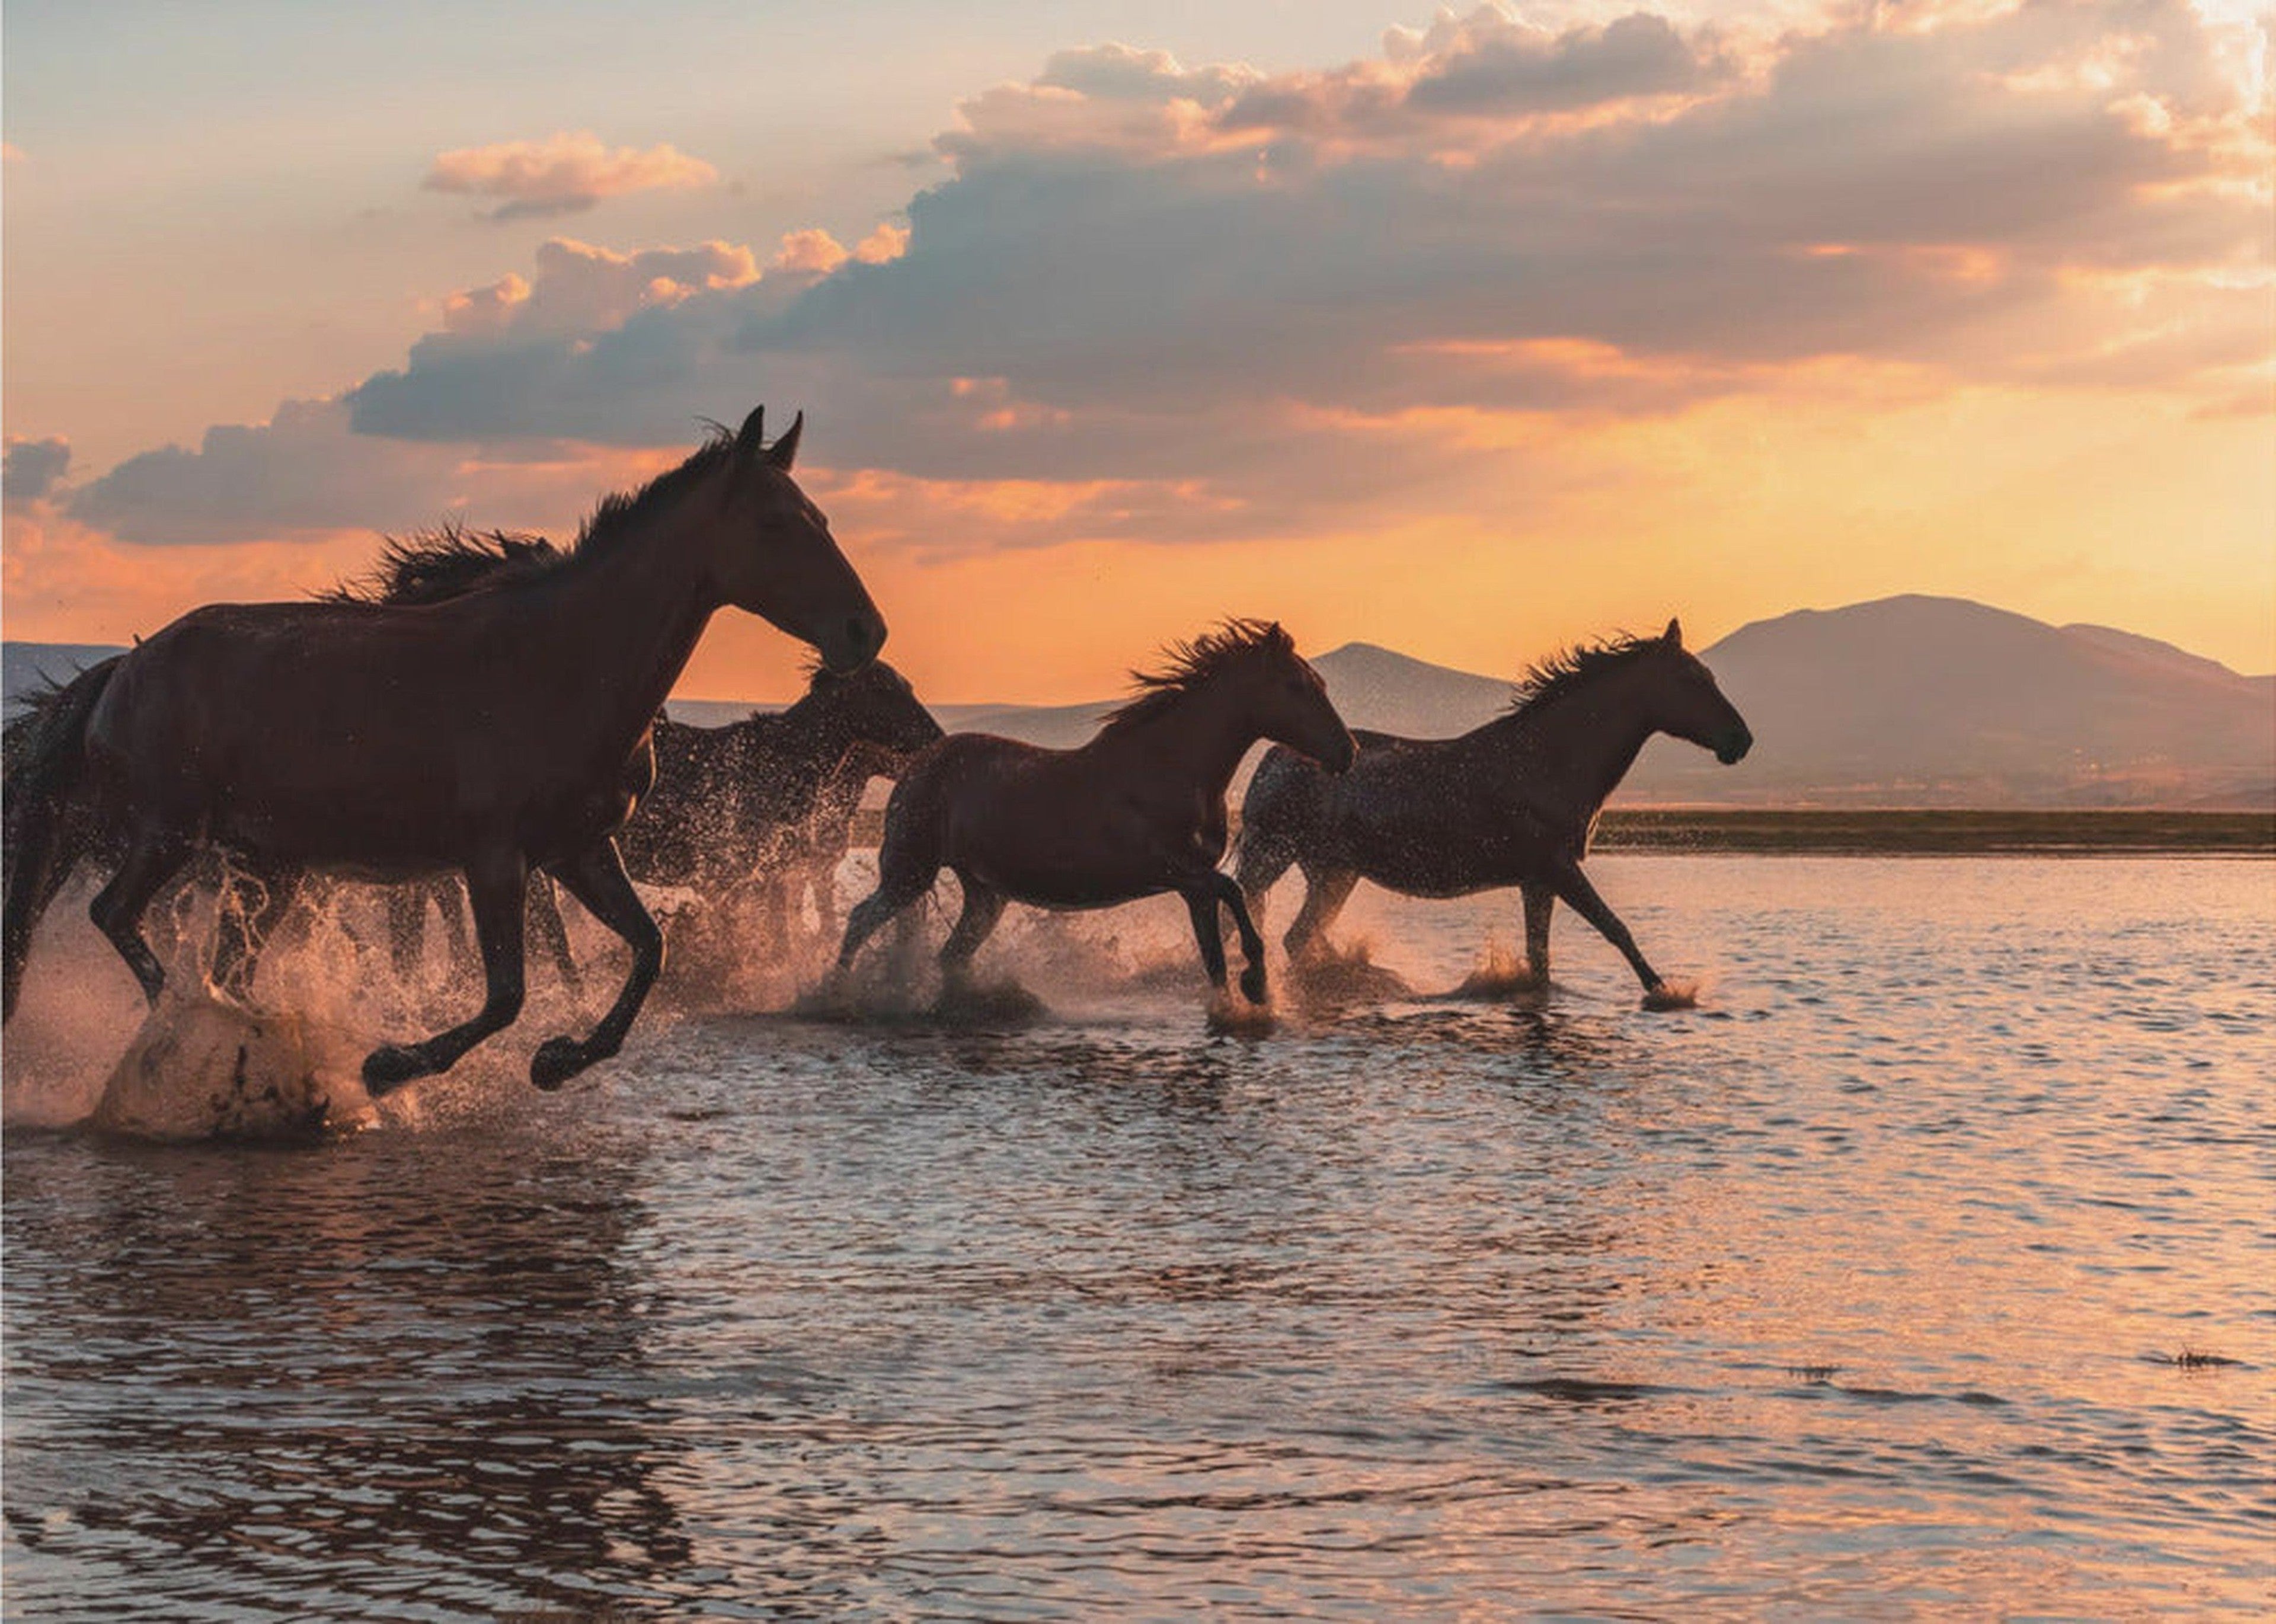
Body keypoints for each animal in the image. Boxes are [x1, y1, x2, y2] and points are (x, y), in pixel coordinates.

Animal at [2, 402, 887, 1087]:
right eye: (777, 522)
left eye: (823, 518)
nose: (865, 631)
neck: (561, 663)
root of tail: (123, 668)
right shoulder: (494, 858)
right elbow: (506, 994)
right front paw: (390, 1065)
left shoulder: (579, 849)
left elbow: (648, 949)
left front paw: (561, 1060)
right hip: (171, 832)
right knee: (116, 914)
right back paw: (201, 1027)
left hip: (268, 864)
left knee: (224, 962)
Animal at [833, 618, 1347, 1009]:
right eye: (1297, 686)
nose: (1349, 751)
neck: (1172, 768)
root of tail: (916, 766)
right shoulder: (1176, 872)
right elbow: (1235, 893)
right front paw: (1257, 983)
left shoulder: (1193, 887)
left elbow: (1215, 958)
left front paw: (1237, 1003)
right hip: (909, 873)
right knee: (860, 921)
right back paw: (834, 995)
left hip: (985, 895)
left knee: (951, 955)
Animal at [1238, 618, 1748, 1000]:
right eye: (1692, 680)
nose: (1741, 740)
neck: (1551, 761)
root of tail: (1273, 759)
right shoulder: (1558, 868)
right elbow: (1616, 929)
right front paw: (1667, 993)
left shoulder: (1538, 882)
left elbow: (1541, 961)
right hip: (1277, 856)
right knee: (1278, 930)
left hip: (1334, 872)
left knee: (1299, 937)